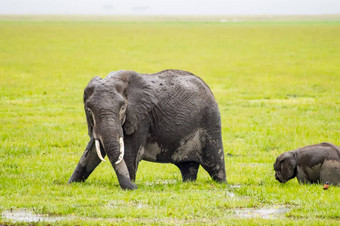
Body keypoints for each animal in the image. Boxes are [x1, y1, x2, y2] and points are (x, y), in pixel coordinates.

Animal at [68, 69, 227, 189]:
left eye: (122, 108)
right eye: (89, 111)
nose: (135, 186)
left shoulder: (141, 118)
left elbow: (129, 153)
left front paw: (130, 184)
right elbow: (92, 150)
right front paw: (72, 183)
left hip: (210, 121)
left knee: (215, 164)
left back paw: (222, 184)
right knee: (188, 167)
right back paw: (187, 183)